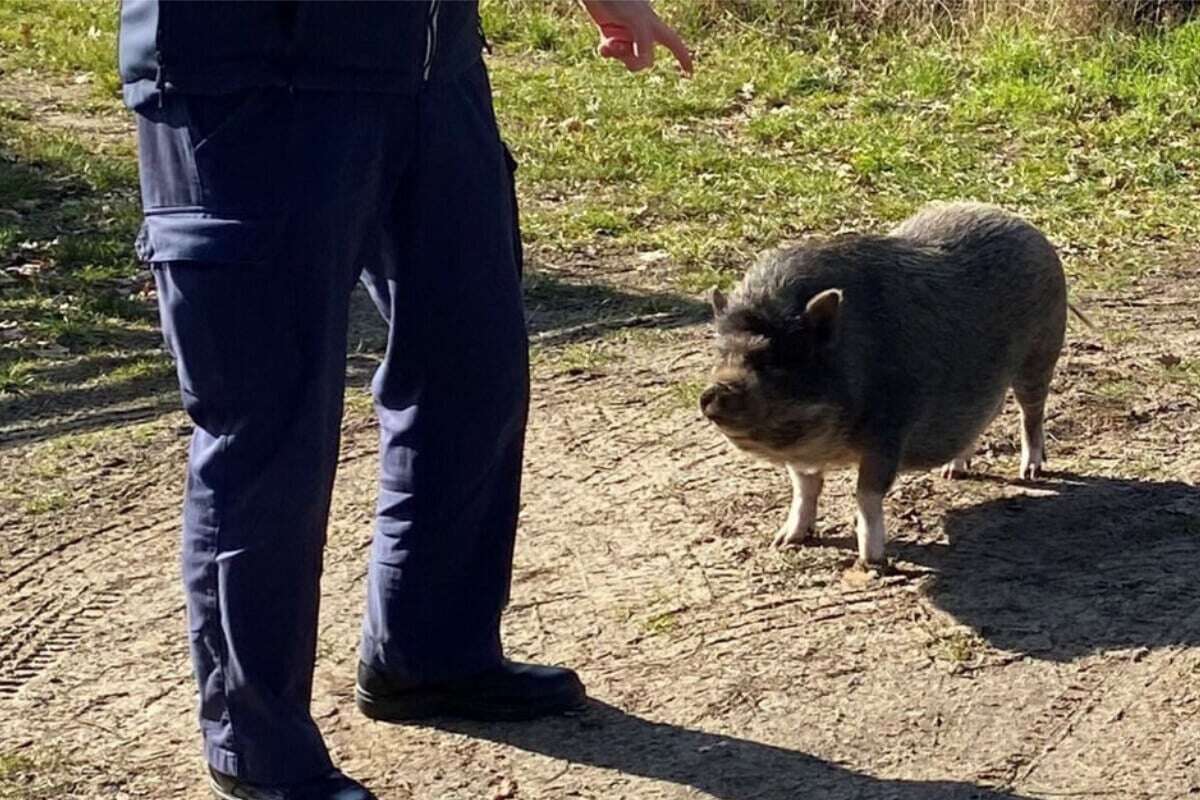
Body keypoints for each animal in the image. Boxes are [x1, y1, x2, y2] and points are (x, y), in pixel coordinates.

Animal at [700, 203, 1065, 573]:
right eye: (720, 354)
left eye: (773, 359)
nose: (713, 392)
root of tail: (1023, 225)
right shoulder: (803, 455)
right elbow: (804, 487)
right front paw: (785, 541)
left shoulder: (890, 429)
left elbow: (867, 493)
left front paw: (872, 563)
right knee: (985, 416)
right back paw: (951, 472)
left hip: (1042, 351)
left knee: (1031, 412)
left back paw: (1031, 472)